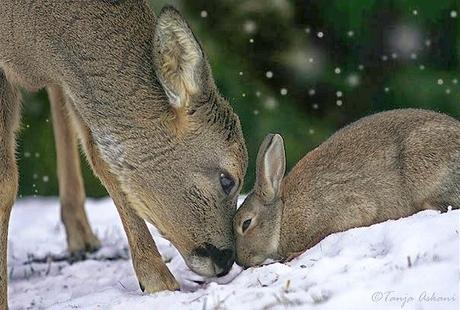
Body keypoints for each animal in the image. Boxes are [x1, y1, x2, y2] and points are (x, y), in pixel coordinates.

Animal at [0, 1, 248, 308]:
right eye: (227, 179)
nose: (226, 259)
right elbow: (6, 182)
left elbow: (103, 158)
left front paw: (157, 280)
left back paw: (82, 236)